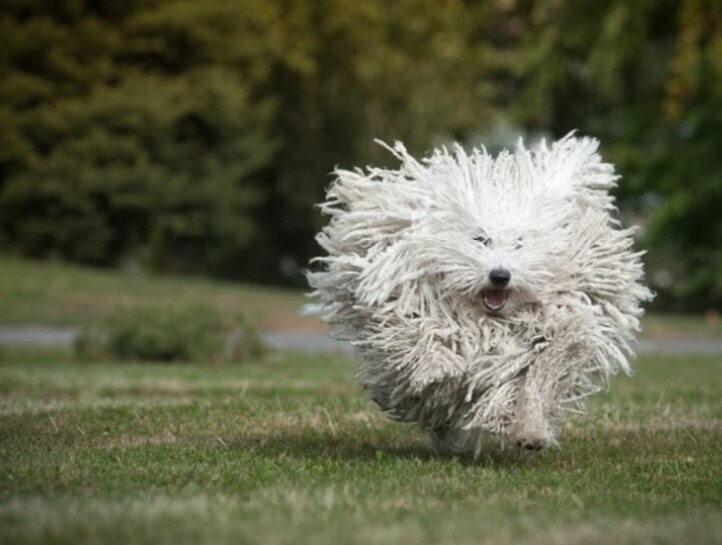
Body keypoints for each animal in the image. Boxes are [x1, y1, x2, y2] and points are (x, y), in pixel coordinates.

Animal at [306, 134, 652, 452]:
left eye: (520, 243)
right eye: (480, 239)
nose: (500, 276)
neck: (488, 321)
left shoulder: (551, 334)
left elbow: (537, 378)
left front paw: (529, 431)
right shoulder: (414, 306)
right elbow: (421, 344)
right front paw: (435, 366)